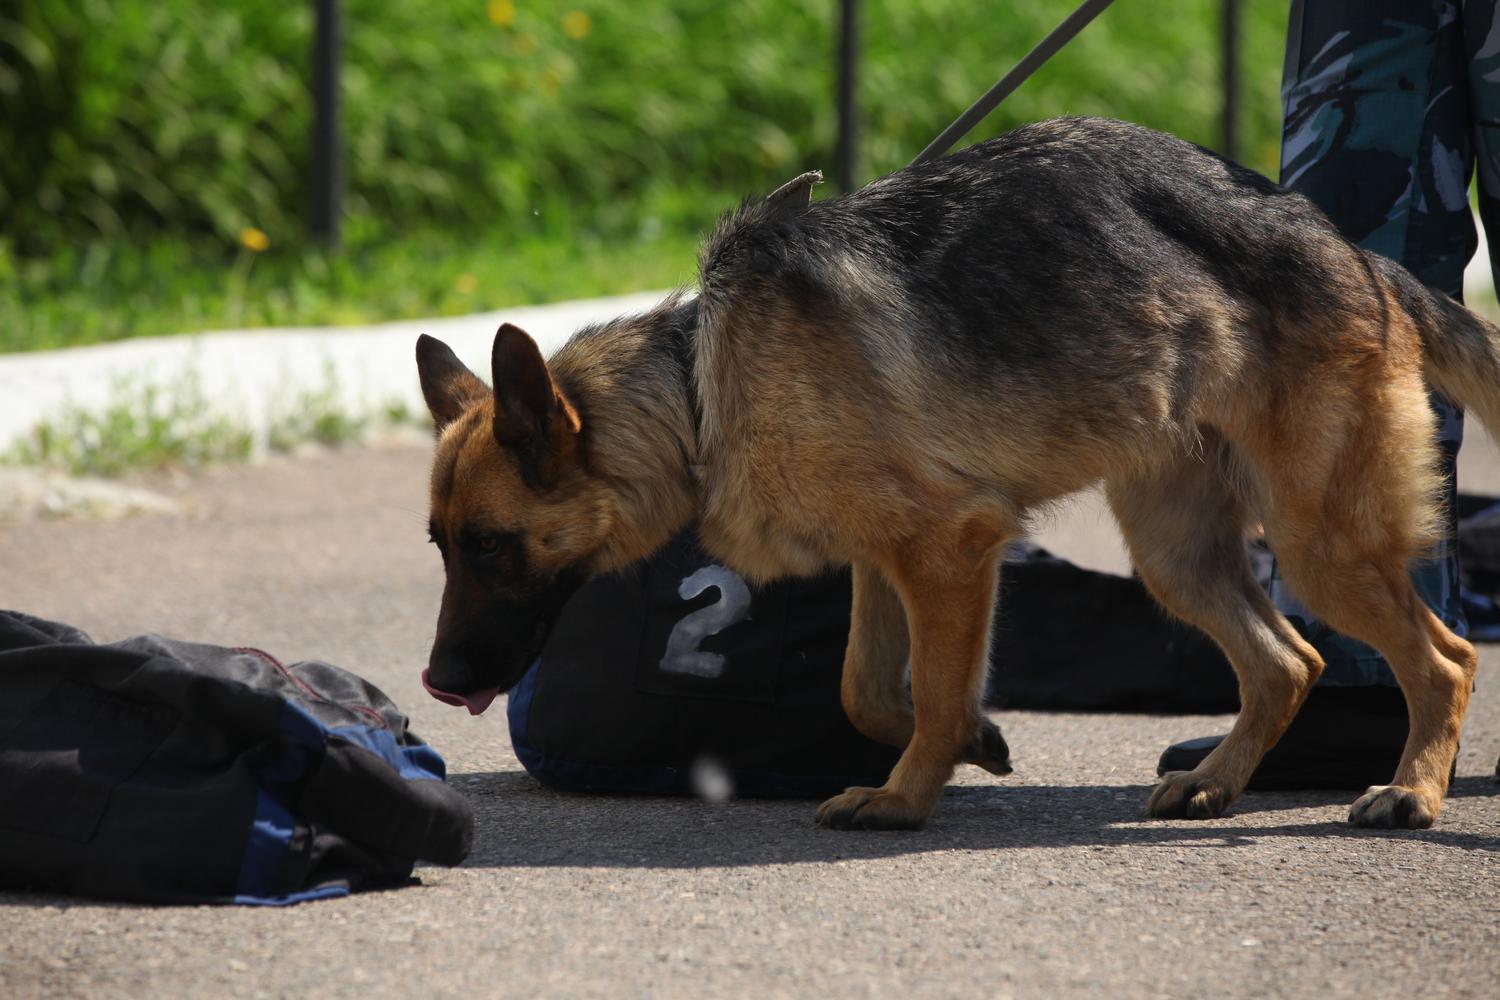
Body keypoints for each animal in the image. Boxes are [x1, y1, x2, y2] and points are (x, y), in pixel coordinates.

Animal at [417, 117, 1482, 833]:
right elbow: (866, 689)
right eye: (440, 546)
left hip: (1316, 546)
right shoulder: (887, 561)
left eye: (491, 545)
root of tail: (1359, 257)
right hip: (1179, 556)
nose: (432, 682)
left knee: (1446, 658)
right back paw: (1219, 780)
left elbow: (925, 689)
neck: (697, 388)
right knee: (1287, 663)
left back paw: (1411, 789)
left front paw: (904, 798)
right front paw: (971, 742)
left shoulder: (950, 550)